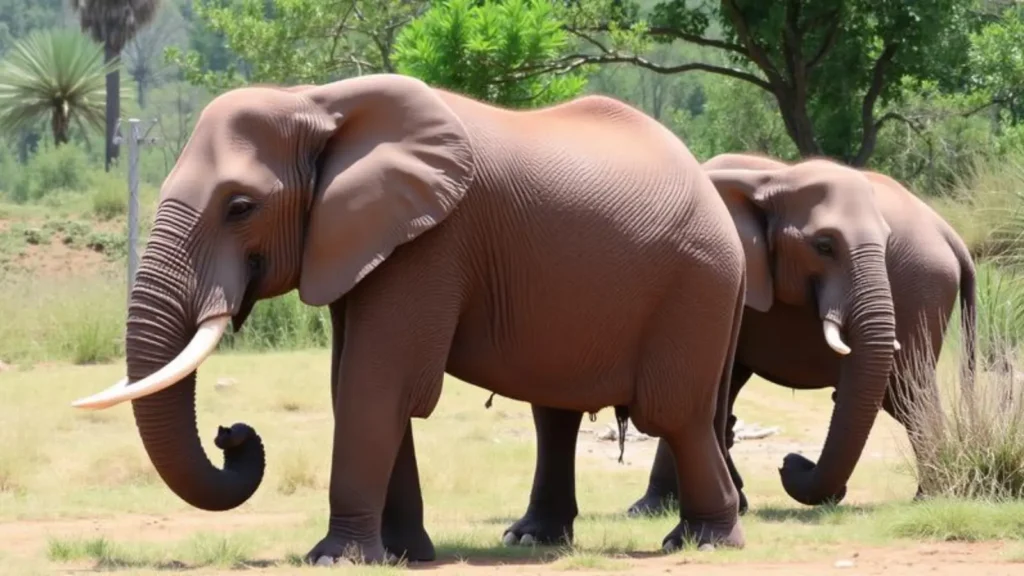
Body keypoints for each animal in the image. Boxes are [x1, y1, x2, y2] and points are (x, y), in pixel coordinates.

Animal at [70, 74, 755, 565]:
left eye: (240, 207)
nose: (231, 434)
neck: (317, 101)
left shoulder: (431, 241)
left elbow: (379, 382)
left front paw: (336, 560)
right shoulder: (367, 243)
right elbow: (358, 384)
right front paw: (403, 555)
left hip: (696, 286)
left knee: (675, 413)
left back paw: (702, 543)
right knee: (560, 414)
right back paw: (534, 540)